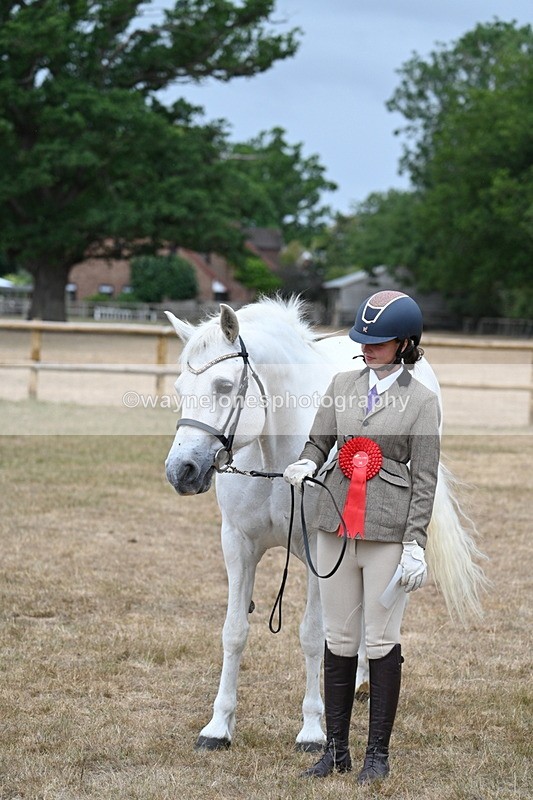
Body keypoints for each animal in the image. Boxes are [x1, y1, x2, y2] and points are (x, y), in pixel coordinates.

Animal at [164, 296, 486, 752]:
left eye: (224, 387)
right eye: (179, 391)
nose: (181, 471)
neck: (277, 460)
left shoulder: (320, 550)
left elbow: (314, 636)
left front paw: (313, 732)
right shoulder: (238, 545)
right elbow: (234, 632)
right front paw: (217, 727)